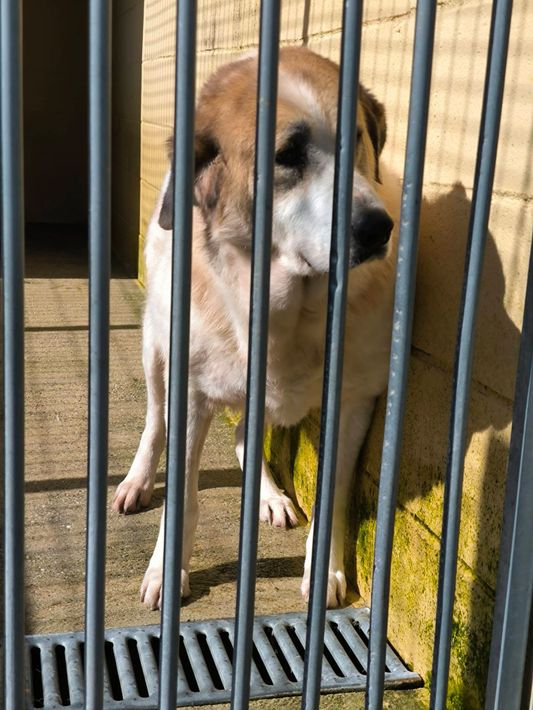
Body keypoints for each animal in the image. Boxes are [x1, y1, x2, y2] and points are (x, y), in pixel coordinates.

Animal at [113, 46, 399, 610]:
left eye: (356, 137)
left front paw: (325, 570)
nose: (378, 229)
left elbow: (333, 494)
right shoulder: (191, 393)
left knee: (246, 435)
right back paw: (137, 480)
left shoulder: (354, 401)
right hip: (156, 351)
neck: (287, 307)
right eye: (286, 154)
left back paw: (268, 496)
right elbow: (182, 493)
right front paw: (167, 568)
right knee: (155, 424)